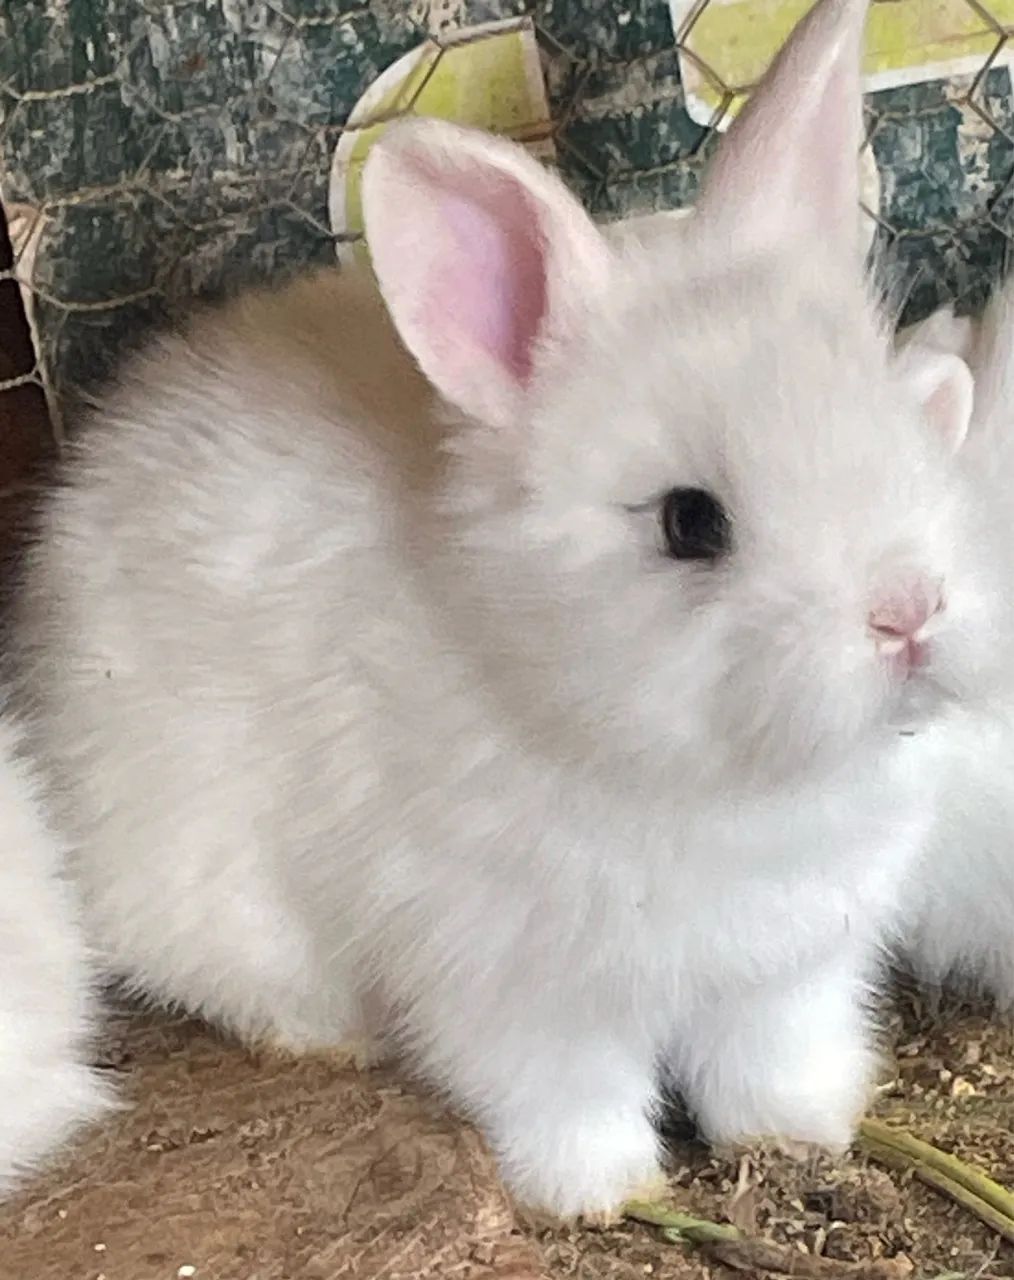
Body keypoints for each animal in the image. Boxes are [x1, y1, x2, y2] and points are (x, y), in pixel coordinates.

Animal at [10, 0, 998, 1218]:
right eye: (690, 522)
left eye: (902, 430)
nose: (909, 610)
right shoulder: (514, 991)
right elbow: (566, 1093)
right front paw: (602, 1191)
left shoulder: (794, 968)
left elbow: (772, 1058)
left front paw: (803, 1135)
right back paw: (328, 1035)